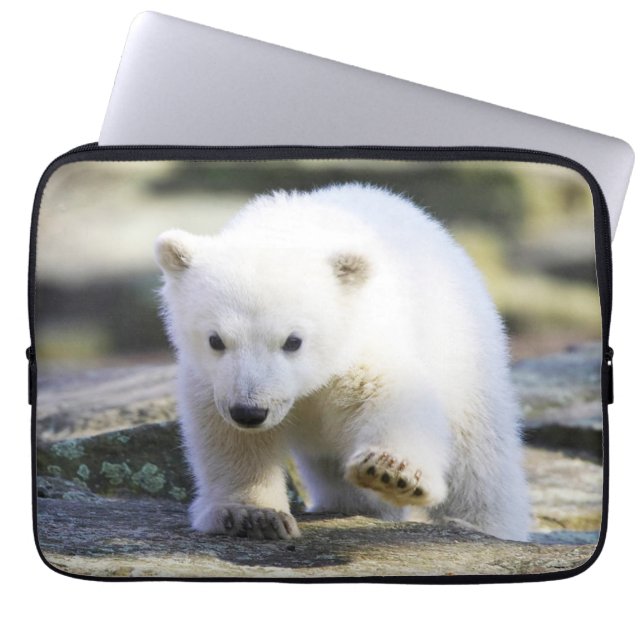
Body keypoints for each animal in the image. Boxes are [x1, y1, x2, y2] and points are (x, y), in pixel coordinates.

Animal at [155, 183, 531, 541]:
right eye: (215, 339)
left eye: (293, 341)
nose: (249, 412)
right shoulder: (211, 380)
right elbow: (230, 439)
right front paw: (254, 516)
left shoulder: (362, 341)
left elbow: (392, 396)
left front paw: (390, 471)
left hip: (463, 349)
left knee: (480, 456)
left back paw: (482, 524)